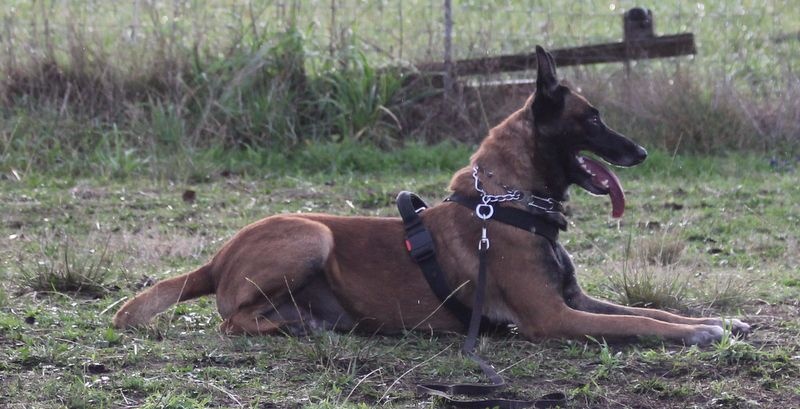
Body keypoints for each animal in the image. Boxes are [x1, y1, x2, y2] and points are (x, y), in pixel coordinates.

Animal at [112, 45, 752, 344]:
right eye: (592, 119)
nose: (641, 153)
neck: (508, 204)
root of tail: (215, 258)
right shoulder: (553, 316)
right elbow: (640, 323)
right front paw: (696, 332)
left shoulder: (575, 299)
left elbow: (650, 310)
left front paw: (718, 319)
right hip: (312, 234)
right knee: (233, 322)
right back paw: (298, 328)